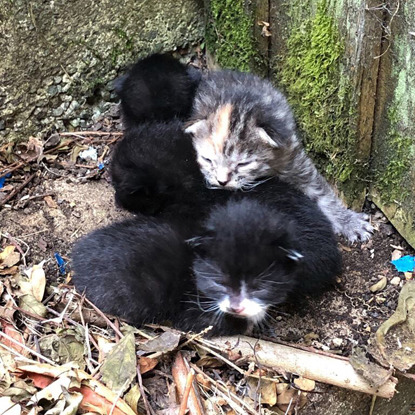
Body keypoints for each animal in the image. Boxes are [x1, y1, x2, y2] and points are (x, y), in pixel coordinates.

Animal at [185, 69, 374, 242]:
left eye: (243, 164)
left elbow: (321, 193)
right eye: (207, 160)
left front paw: (349, 221)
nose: (222, 182)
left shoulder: (291, 153)